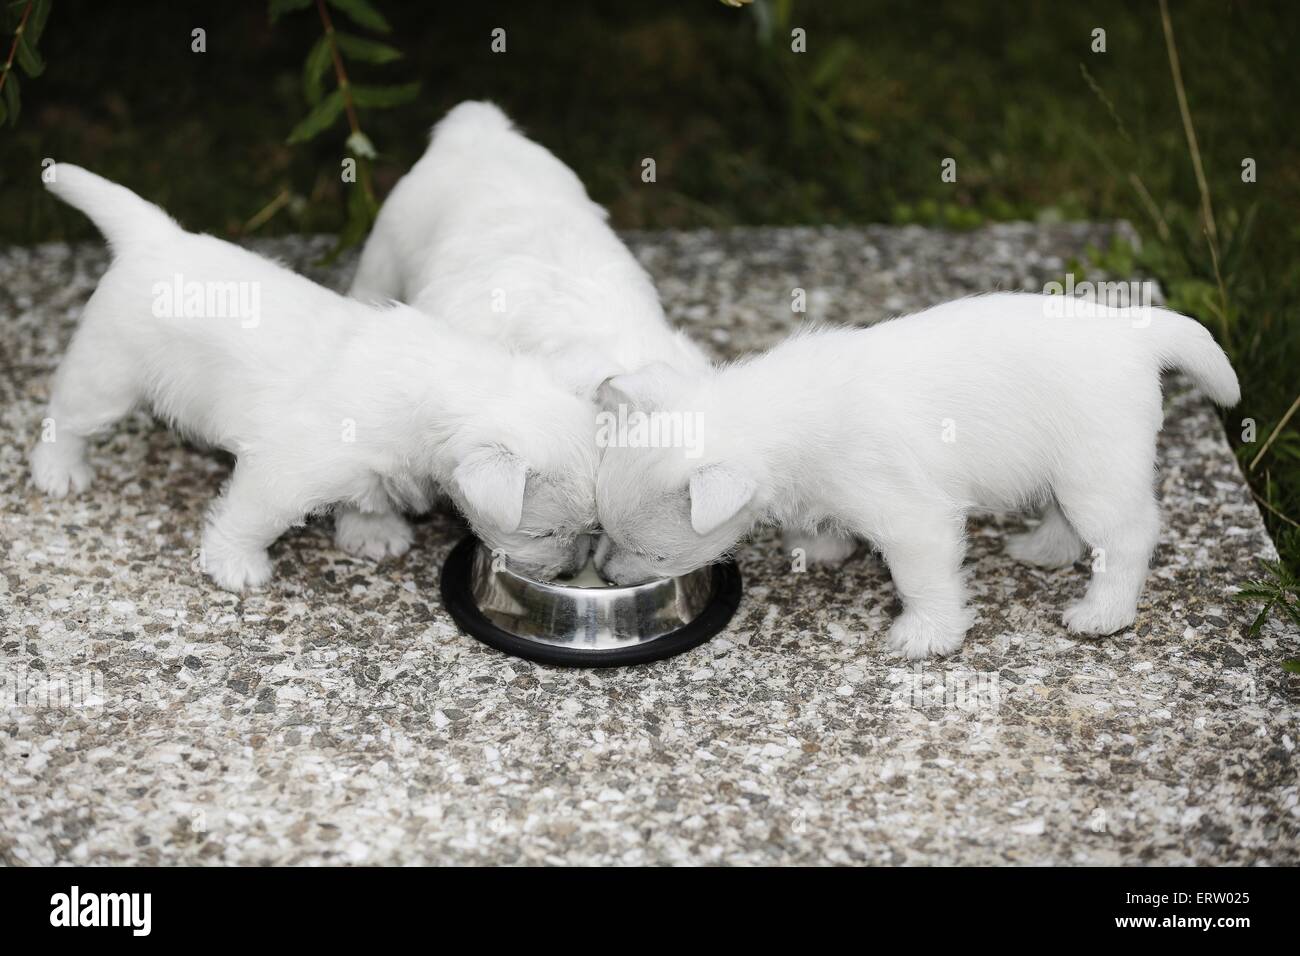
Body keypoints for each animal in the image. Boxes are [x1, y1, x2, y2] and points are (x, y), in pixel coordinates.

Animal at [32, 167, 595, 595]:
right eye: (546, 531)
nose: (568, 571)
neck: (441, 385)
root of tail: (156, 236)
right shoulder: (280, 476)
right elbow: (251, 519)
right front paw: (235, 565)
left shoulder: (374, 469)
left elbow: (368, 495)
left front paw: (372, 533)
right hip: (106, 379)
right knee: (65, 418)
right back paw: (59, 471)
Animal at [592, 295, 1237, 660]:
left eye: (654, 554)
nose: (603, 575)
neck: (779, 415)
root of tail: (1133, 331)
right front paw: (818, 546)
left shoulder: (912, 519)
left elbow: (922, 581)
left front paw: (927, 636)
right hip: (1066, 470)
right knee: (1068, 521)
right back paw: (1044, 550)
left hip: (1096, 472)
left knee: (1127, 537)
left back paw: (1102, 613)